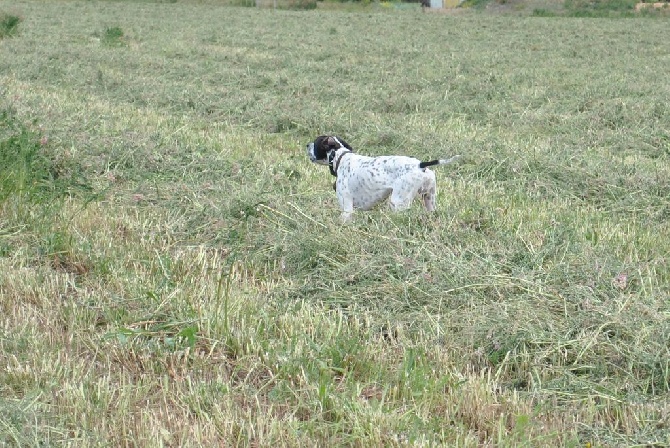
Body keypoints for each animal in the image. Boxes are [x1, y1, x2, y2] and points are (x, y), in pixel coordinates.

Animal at [306, 135, 460, 222]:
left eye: (315, 142)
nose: (307, 145)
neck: (340, 157)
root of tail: (421, 165)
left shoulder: (347, 209)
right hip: (429, 200)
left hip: (398, 203)